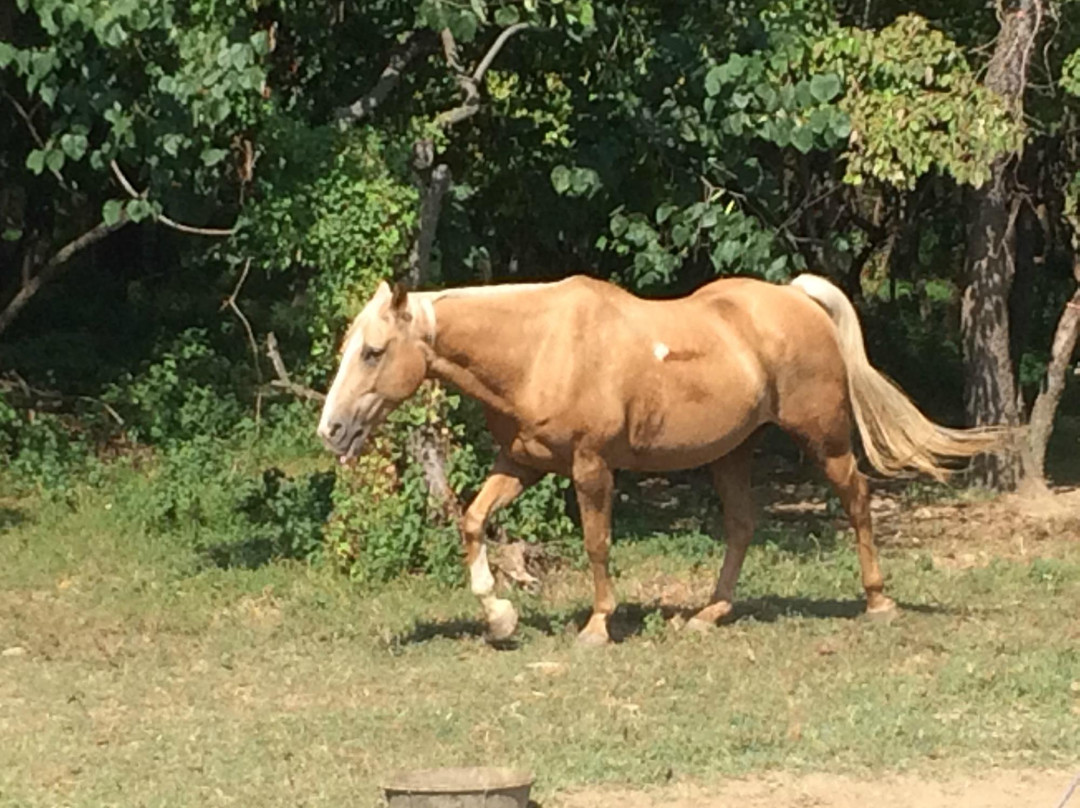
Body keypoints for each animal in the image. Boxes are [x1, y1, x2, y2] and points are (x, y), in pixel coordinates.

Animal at [317, 276, 1002, 643]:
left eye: (373, 351)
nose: (331, 430)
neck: (538, 347)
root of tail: (794, 296)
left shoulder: (591, 468)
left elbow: (597, 544)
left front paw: (597, 626)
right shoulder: (524, 463)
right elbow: (473, 521)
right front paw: (501, 617)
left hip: (825, 441)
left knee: (857, 499)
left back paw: (878, 600)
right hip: (731, 453)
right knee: (742, 524)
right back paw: (710, 612)